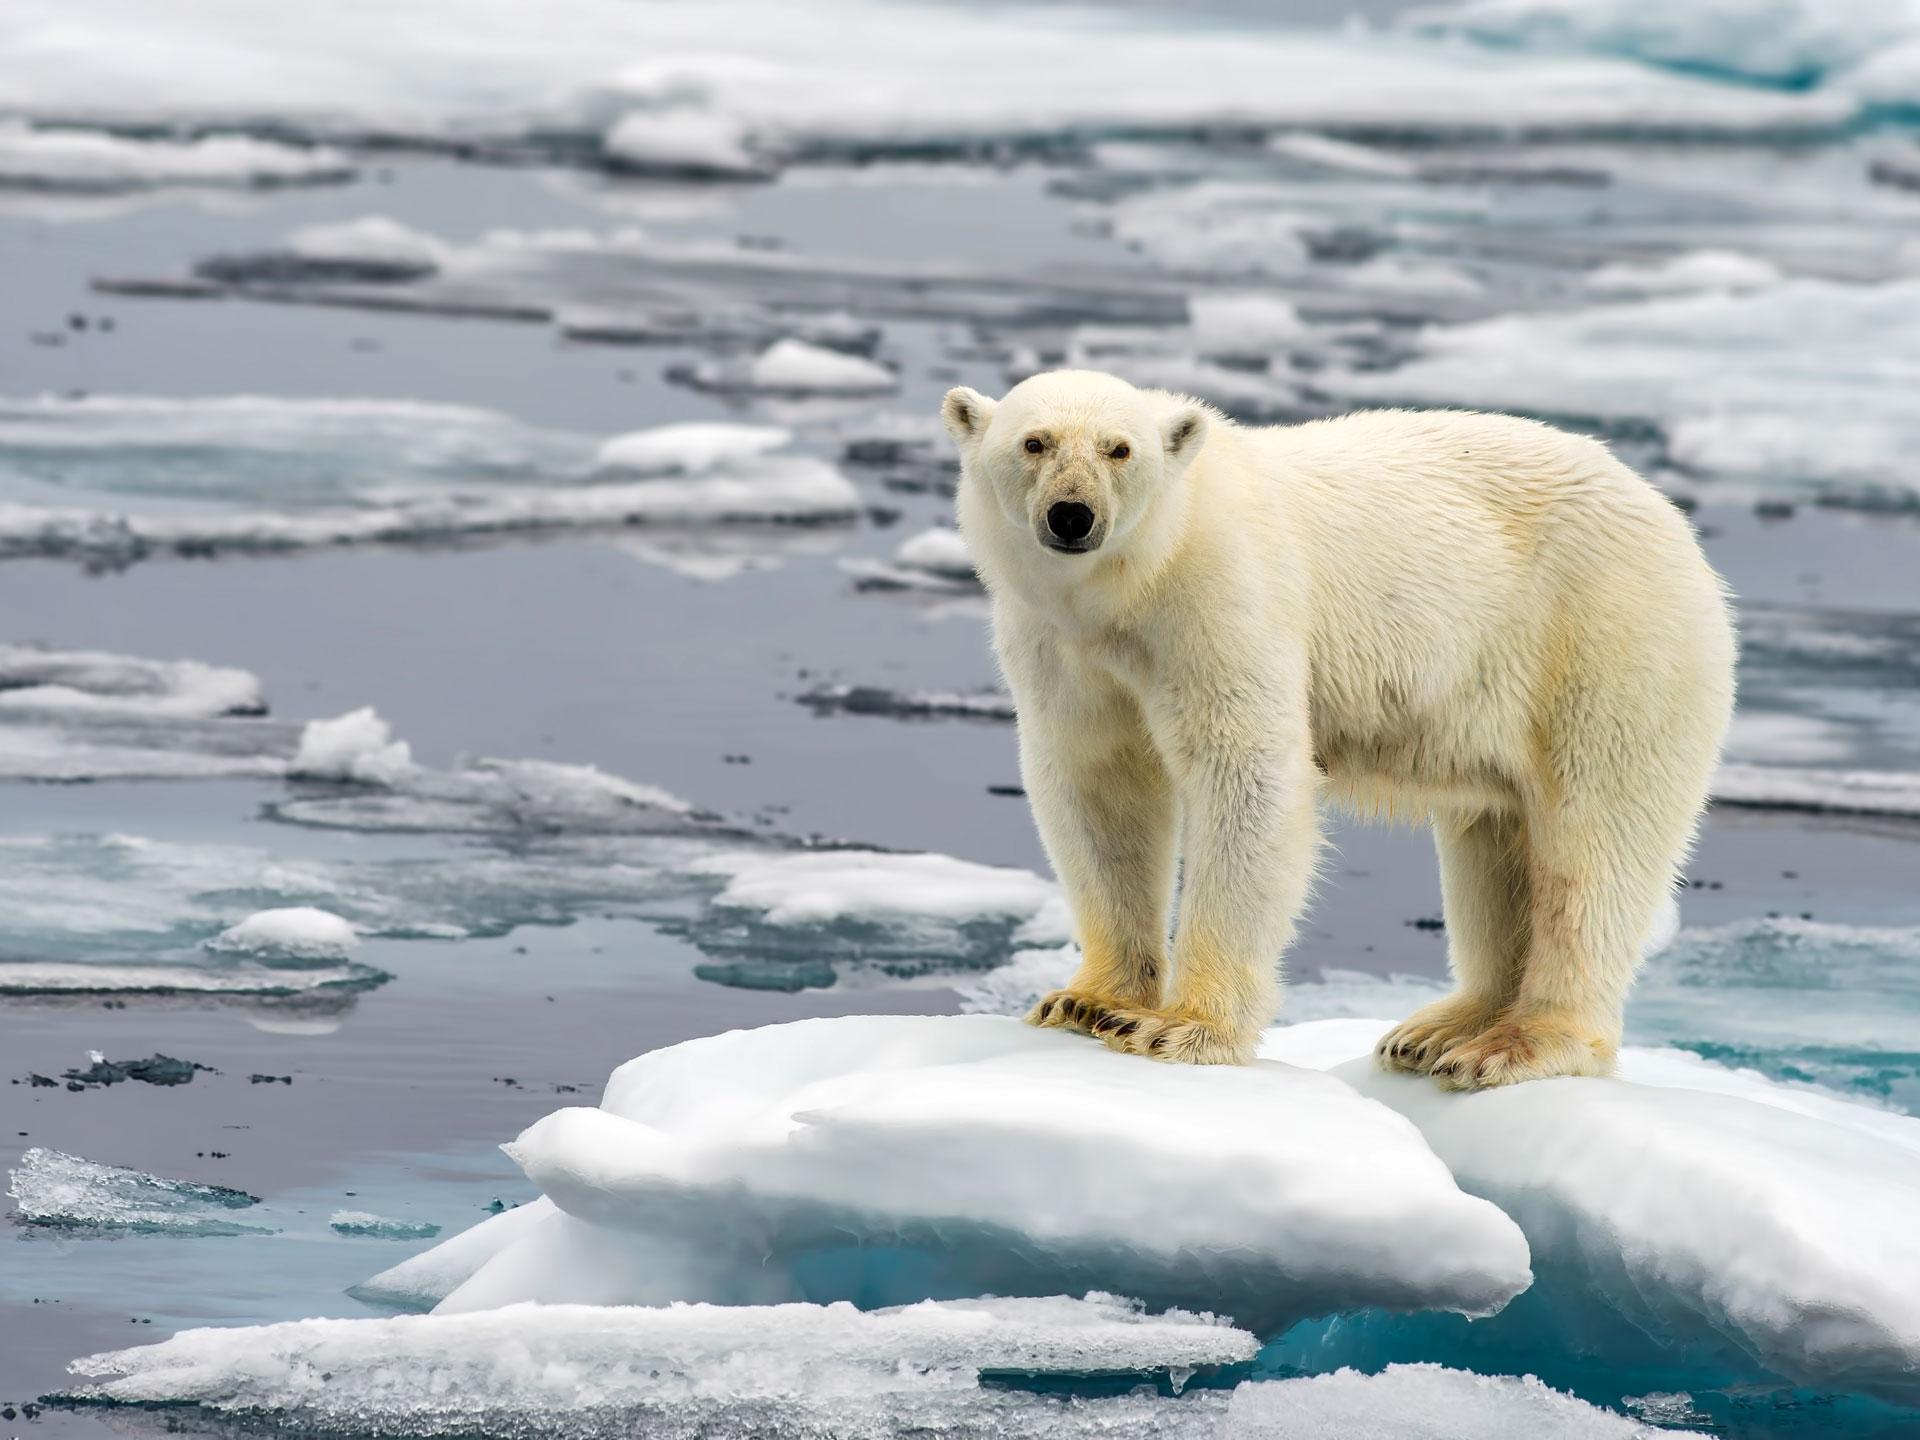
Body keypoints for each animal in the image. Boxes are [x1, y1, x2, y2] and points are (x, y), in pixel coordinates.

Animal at [941, 369, 1736, 1087]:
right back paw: (1438, 1031)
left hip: (1605, 641)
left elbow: (1247, 774)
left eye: (1119, 449)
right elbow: (1098, 786)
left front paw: (1181, 1028)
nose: (1072, 515)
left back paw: (1516, 1044)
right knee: (1497, 838)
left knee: (1594, 842)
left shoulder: (1222, 601)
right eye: (1035, 442)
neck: (1136, 583)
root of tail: (1675, 525)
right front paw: (1087, 1001)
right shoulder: (1061, 646)